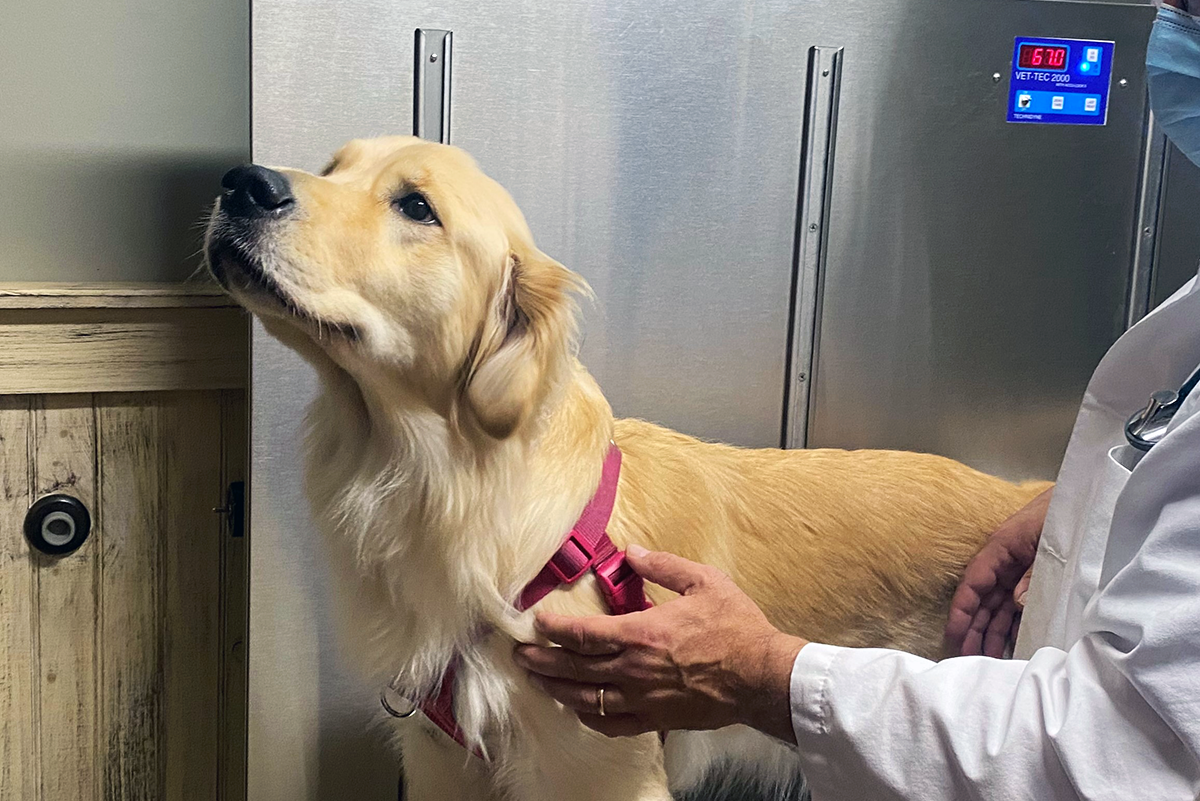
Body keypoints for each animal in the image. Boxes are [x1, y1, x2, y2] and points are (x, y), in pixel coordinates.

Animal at [204, 134, 1051, 796]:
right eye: (332, 166)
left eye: (415, 207)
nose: (243, 183)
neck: (454, 484)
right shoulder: (447, 760)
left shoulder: (600, 766)